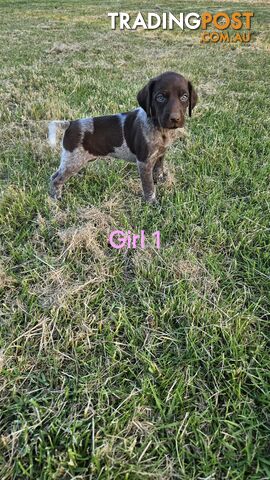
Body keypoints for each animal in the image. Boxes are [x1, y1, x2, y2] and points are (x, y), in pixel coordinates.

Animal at [48, 72, 197, 203]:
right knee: (55, 179)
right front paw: (152, 203)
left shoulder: (160, 154)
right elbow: (149, 186)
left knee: (54, 176)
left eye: (184, 97)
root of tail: (70, 123)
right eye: (160, 97)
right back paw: (55, 198)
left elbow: (158, 170)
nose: (175, 119)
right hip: (73, 161)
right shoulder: (144, 162)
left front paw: (160, 182)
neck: (160, 128)